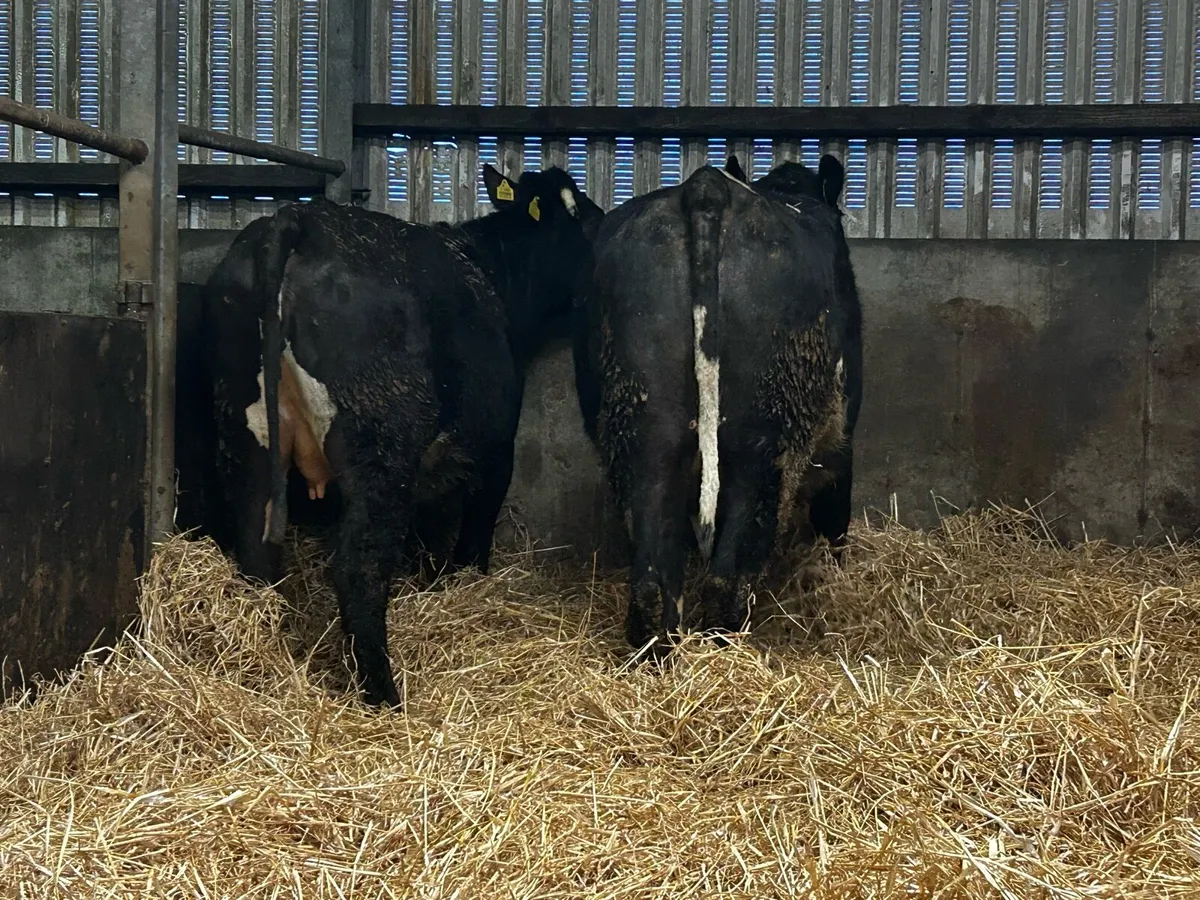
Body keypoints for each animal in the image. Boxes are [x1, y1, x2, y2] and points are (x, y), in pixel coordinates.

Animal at [203, 164, 604, 708]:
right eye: (579, 213)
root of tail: (299, 220)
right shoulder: (494, 447)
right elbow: (474, 528)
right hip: (382, 446)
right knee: (359, 567)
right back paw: (384, 694)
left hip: (245, 431)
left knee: (254, 546)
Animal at [571, 154, 862, 654]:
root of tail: (705, 186)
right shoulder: (841, 450)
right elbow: (833, 521)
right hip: (763, 445)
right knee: (730, 576)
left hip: (642, 435)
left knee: (653, 579)